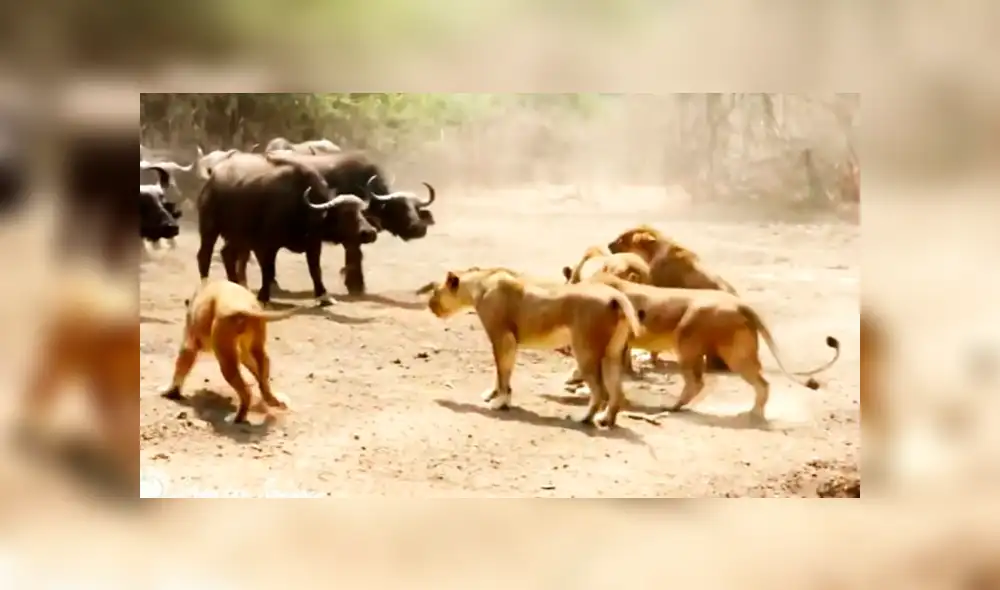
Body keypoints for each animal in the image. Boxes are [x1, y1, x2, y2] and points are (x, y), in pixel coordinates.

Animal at [161, 279, 301, 424]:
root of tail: (245, 308)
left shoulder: (190, 341)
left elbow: (182, 363)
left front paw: (169, 392)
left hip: (224, 344)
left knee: (245, 389)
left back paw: (238, 417)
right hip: (253, 338)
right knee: (262, 363)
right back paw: (271, 400)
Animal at [196, 152, 378, 305]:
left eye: (361, 212)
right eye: (345, 214)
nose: (370, 233)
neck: (302, 207)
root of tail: (212, 177)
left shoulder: (313, 244)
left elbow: (315, 270)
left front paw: (324, 296)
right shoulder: (266, 245)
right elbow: (268, 270)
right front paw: (263, 296)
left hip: (238, 236)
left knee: (227, 254)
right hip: (210, 228)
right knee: (204, 255)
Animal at [421, 266, 645, 428]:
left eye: (435, 291)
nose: (429, 305)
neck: (481, 284)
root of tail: (614, 295)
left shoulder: (502, 338)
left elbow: (502, 372)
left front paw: (500, 402)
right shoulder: (507, 343)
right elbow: (501, 372)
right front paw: (496, 396)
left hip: (585, 352)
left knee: (600, 392)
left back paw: (584, 419)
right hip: (611, 354)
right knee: (617, 393)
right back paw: (606, 420)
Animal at [590, 272, 841, 423]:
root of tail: (740, 304)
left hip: (691, 342)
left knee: (698, 382)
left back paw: (675, 408)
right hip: (739, 351)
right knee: (761, 382)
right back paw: (753, 413)